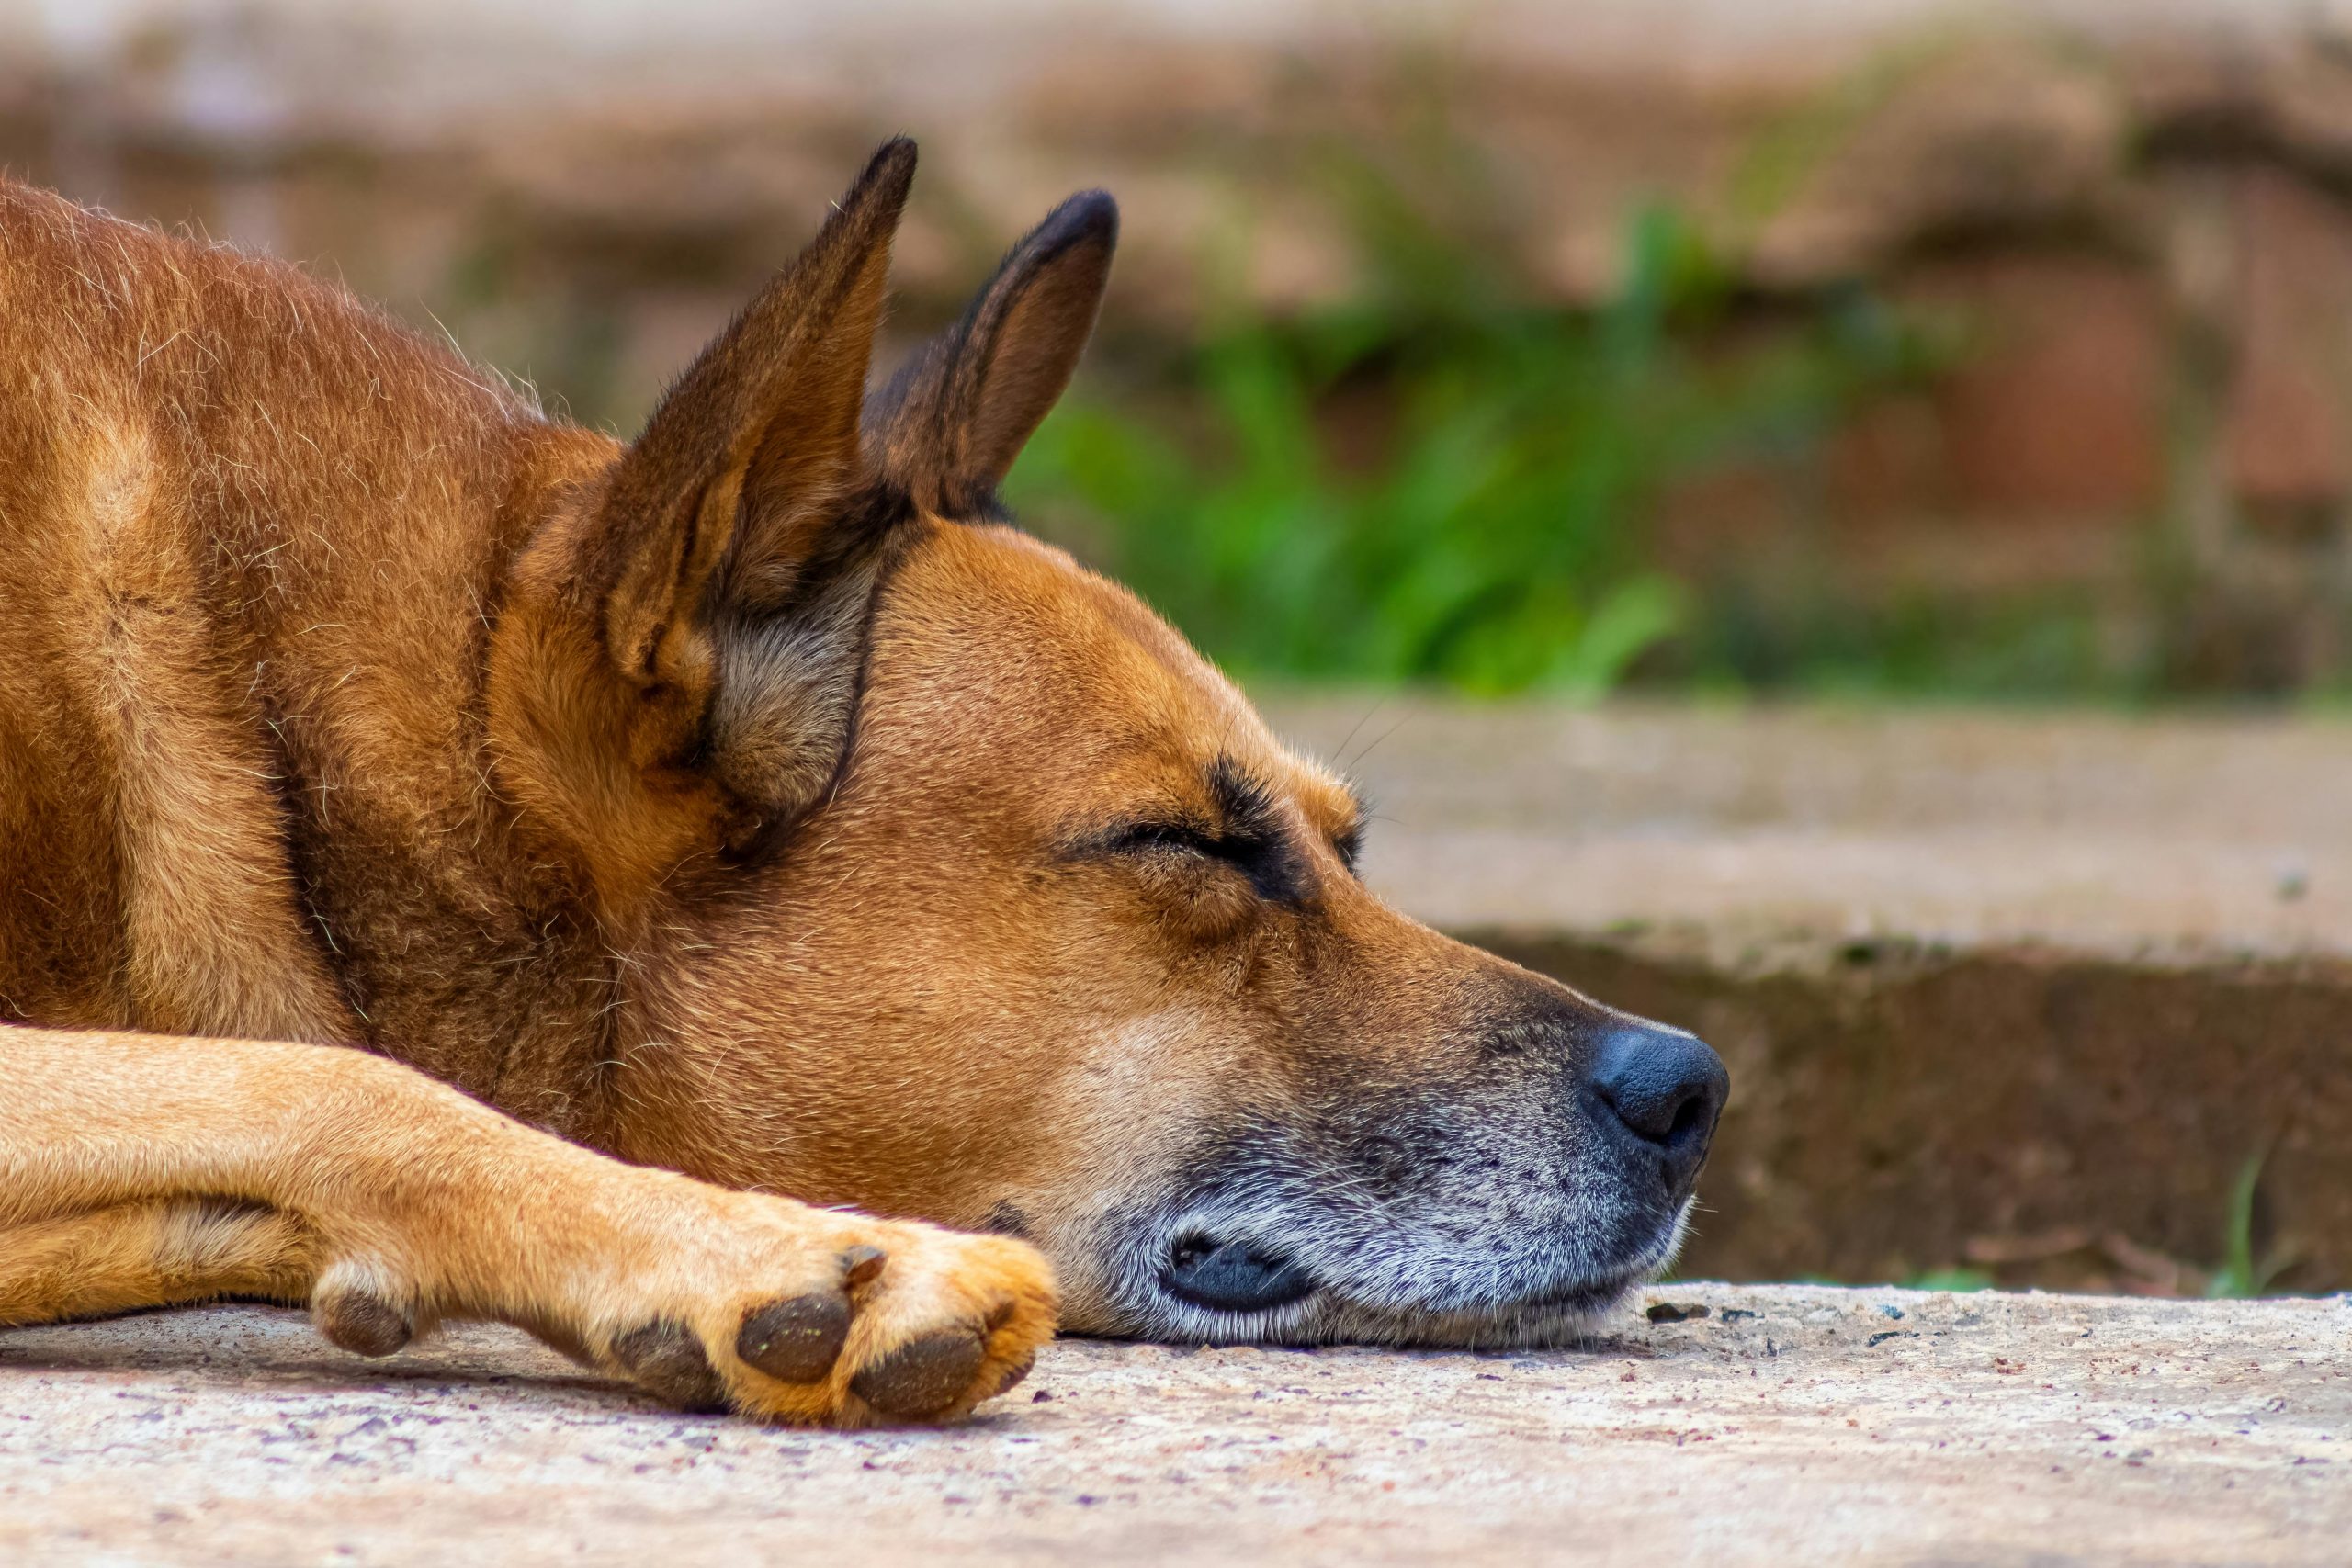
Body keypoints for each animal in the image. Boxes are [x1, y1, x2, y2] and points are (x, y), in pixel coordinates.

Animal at [0, 141, 1731, 1429]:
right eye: (1184, 842)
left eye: (1348, 843)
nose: (1691, 1089)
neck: (292, 737)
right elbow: (340, 1081)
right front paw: (758, 1251)